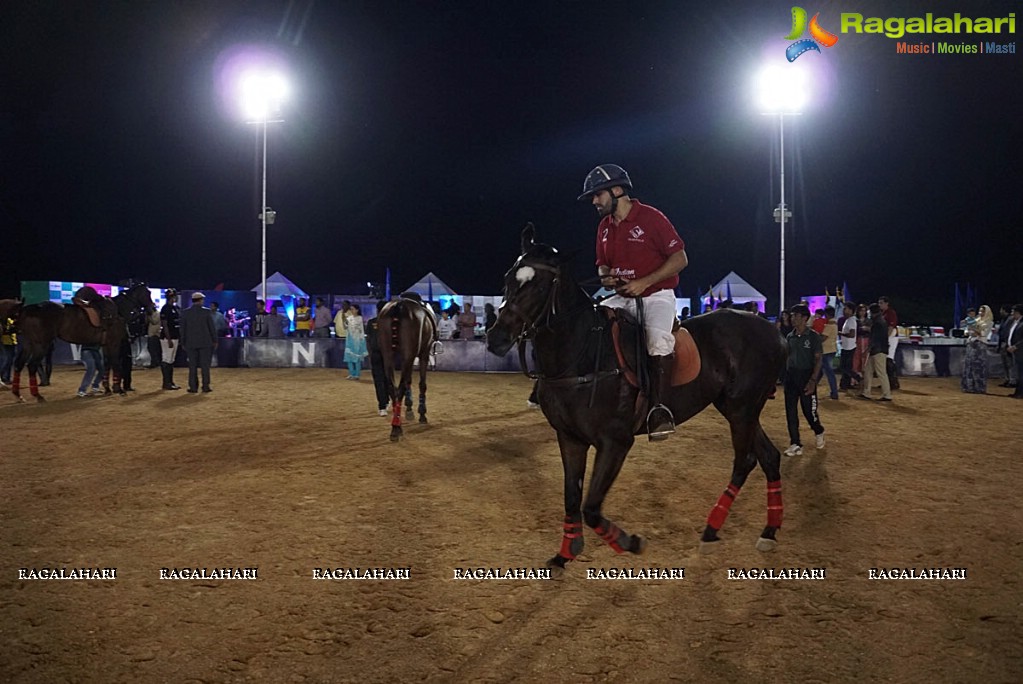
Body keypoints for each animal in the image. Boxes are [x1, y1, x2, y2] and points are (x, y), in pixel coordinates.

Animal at [9, 282, 155, 400]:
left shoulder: (106, 345)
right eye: (147, 293)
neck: (117, 311)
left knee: (18, 364)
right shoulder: (114, 344)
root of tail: (28, 309)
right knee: (32, 366)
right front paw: (119, 389)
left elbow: (107, 365)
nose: (153, 308)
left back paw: (18, 394)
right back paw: (37, 395)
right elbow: (115, 365)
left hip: (29, 344)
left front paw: (108, 388)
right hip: (41, 345)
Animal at [378, 296, 437, 439]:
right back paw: (396, 426)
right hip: (409, 355)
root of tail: (398, 306)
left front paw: (409, 410)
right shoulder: (423, 354)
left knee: (392, 387)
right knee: (401, 387)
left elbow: (408, 382)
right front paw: (422, 413)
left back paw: (396, 424)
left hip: (388, 355)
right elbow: (422, 384)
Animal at [484, 223, 781, 572]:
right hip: (739, 408)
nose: (496, 338)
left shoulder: (615, 441)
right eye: (508, 278)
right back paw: (768, 531)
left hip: (741, 407)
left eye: (541, 285)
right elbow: (572, 498)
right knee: (769, 457)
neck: (582, 355)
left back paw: (711, 531)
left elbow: (591, 507)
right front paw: (566, 552)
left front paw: (629, 542)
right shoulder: (570, 437)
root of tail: (773, 330)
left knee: (745, 460)